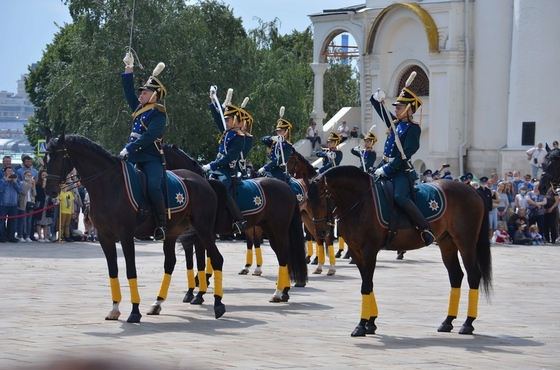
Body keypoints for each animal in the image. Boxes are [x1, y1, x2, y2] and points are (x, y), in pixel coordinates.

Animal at [44, 134, 225, 322]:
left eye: (57, 158)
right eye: (45, 158)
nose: (50, 191)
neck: (108, 184)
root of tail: (205, 182)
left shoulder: (126, 235)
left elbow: (131, 270)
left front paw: (135, 311)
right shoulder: (104, 236)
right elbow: (113, 270)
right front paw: (115, 309)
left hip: (203, 229)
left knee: (216, 258)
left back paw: (218, 304)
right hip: (173, 233)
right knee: (170, 263)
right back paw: (157, 303)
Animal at [164, 143, 308, 302]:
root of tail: (287, 187)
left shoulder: (201, 234)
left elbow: (203, 259)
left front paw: (199, 289)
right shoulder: (192, 236)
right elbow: (193, 260)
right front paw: (192, 290)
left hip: (279, 230)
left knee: (283, 255)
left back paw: (279, 292)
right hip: (269, 229)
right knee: (283, 255)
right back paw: (284, 290)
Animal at [304, 166, 492, 336]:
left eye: (322, 200)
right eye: (307, 202)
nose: (321, 232)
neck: (360, 200)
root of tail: (472, 190)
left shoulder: (369, 250)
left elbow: (366, 285)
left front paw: (361, 325)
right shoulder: (356, 251)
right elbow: (368, 282)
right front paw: (371, 323)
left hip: (466, 243)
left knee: (473, 276)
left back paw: (468, 323)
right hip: (447, 243)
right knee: (456, 276)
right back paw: (448, 321)